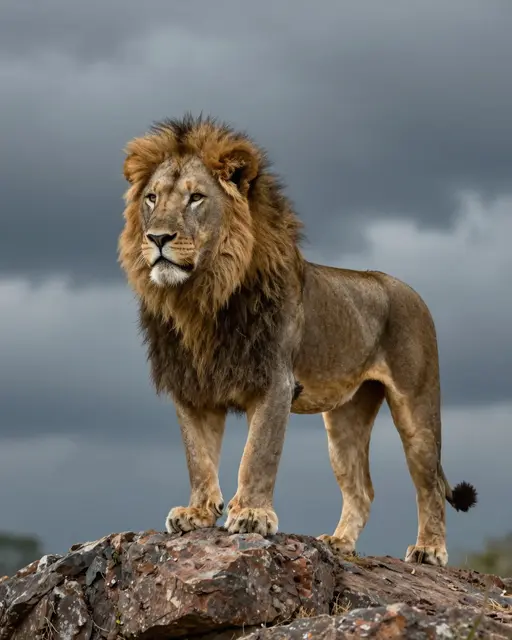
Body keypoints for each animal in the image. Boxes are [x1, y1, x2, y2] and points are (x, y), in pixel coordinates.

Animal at [118, 113, 477, 567]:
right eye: (151, 198)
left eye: (196, 198)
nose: (157, 238)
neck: (201, 297)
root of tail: (407, 289)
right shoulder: (192, 386)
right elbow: (197, 456)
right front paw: (197, 513)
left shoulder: (275, 381)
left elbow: (258, 454)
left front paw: (251, 515)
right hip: (345, 418)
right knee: (362, 489)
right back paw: (339, 542)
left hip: (418, 404)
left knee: (428, 483)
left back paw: (429, 550)